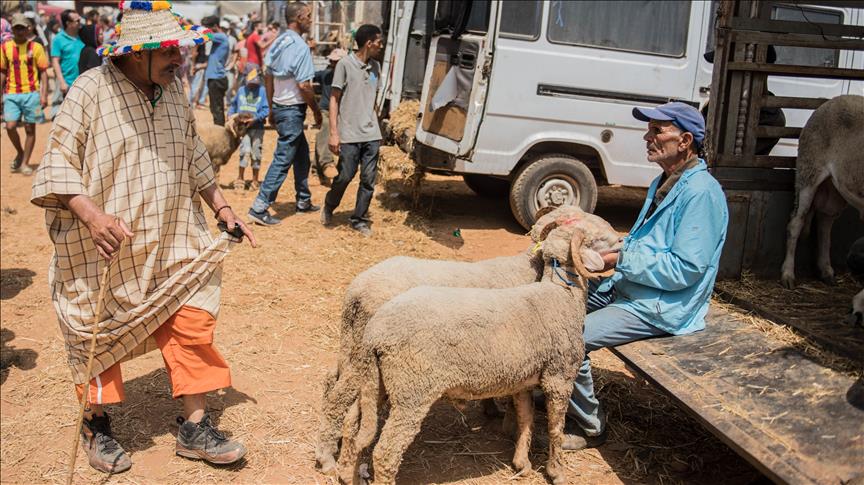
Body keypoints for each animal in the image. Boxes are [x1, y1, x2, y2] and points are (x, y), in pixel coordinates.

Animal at [316, 205, 620, 472]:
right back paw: (327, 456)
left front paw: (497, 414)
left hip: (353, 344)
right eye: (591, 232)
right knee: (340, 398)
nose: (620, 239)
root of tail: (357, 289)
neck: (530, 268)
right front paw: (510, 426)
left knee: (333, 382)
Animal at [780, 96, 860, 290]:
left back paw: (826, 271)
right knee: (796, 223)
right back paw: (788, 274)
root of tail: (829, 101)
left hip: (836, 188)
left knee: (825, 222)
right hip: (809, 172)